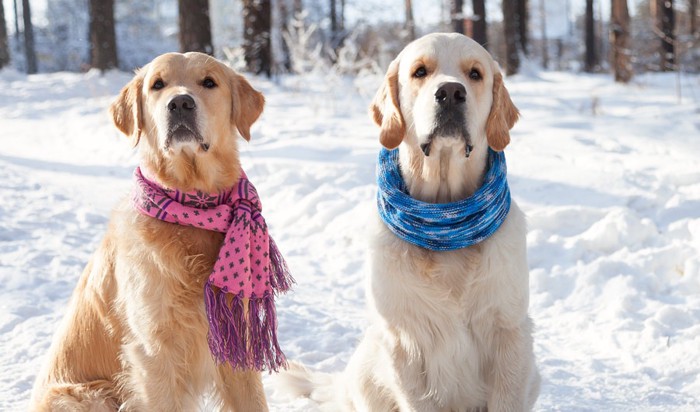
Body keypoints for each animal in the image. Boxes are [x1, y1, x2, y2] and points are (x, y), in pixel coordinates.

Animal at [33, 53, 274, 410]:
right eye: (157, 84)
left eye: (209, 82)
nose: (181, 103)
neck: (193, 205)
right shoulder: (155, 352)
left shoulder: (235, 339)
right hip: (89, 395)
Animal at [276, 33, 540, 412]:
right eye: (420, 71)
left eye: (475, 73)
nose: (450, 92)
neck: (445, 219)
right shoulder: (405, 340)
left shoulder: (509, 333)